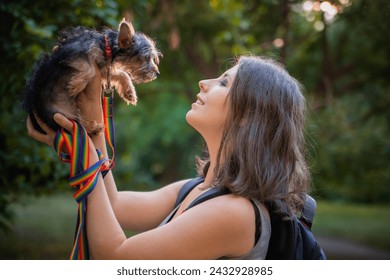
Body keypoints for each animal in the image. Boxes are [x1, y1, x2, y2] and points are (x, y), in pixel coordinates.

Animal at [22, 18, 161, 135]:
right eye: (146, 58)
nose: (157, 73)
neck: (106, 46)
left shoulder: (104, 70)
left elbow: (122, 74)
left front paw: (129, 93)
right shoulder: (72, 54)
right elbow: (89, 69)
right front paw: (76, 85)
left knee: (77, 123)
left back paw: (93, 127)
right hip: (55, 113)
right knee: (73, 124)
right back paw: (93, 127)